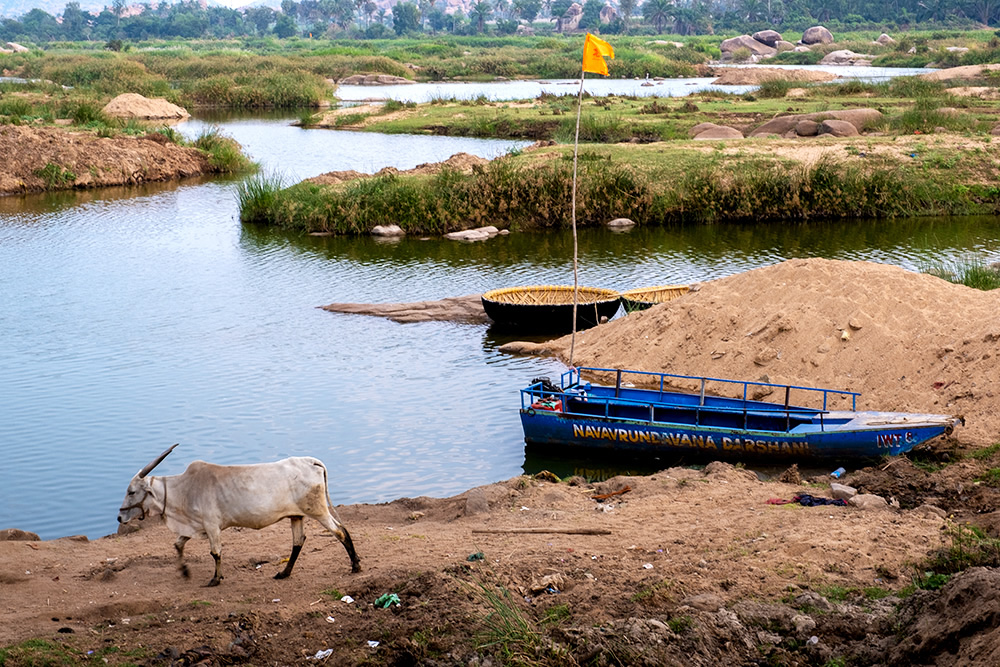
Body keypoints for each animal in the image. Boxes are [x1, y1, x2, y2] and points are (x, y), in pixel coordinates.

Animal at [118, 446, 360, 588]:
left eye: (131, 492)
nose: (120, 518)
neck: (185, 490)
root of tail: (311, 461)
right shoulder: (195, 526)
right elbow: (178, 545)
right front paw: (184, 572)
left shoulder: (211, 526)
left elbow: (215, 552)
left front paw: (215, 579)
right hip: (296, 515)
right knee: (298, 542)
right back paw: (284, 573)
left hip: (318, 510)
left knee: (340, 531)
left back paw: (355, 566)